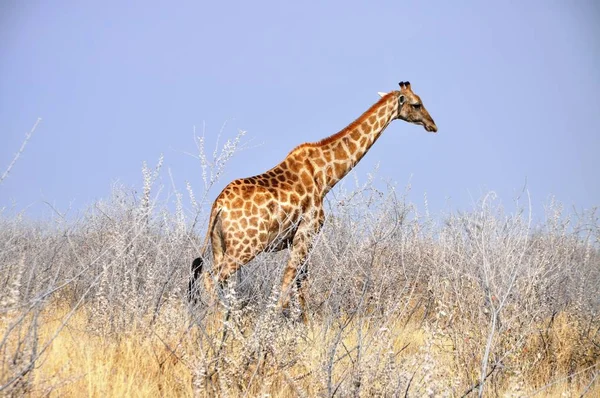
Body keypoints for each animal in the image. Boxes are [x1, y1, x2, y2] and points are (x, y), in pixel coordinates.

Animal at [189, 81, 436, 320]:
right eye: (417, 104)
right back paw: (217, 322)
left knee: (216, 278)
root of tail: (218, 206)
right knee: (212, 277)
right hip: (245, 246)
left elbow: (298, 283)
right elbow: (293, 284)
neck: (325, 175)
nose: (433, 125)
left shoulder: (298, 238)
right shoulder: (307, 232)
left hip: (219, 245)